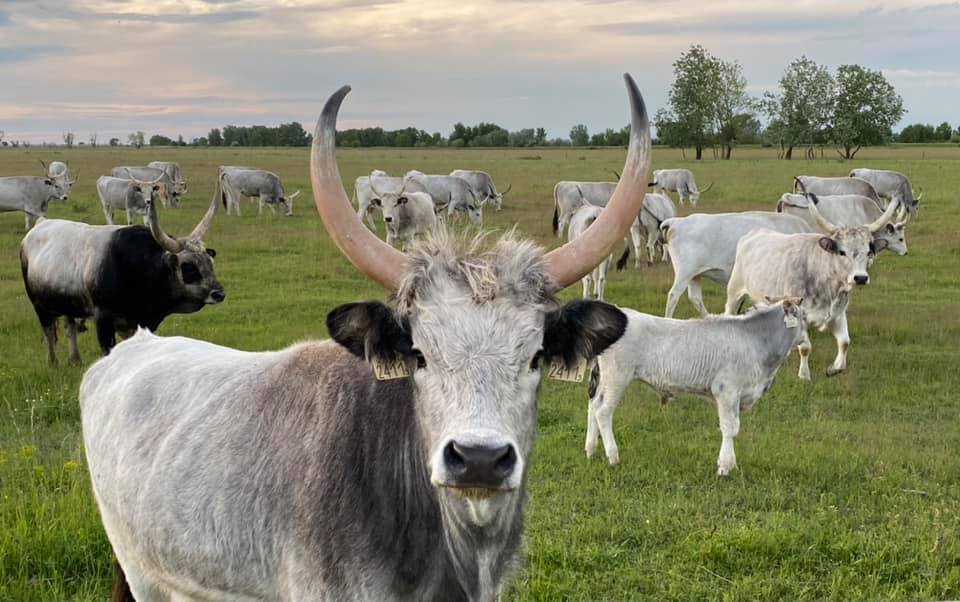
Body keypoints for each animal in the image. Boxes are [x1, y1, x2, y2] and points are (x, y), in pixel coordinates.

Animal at [23, 192, 227, 364]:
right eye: (189, 267)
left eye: (210, 262)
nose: (219, 294)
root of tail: (39, 224)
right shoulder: (103, 316)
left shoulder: (142, 322)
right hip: (38, 305)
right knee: (49, 333)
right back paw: (53, 363)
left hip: (68, 303)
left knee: (69, 327)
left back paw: (75, 361)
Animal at [724, 195, 904, 378]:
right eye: (842, 252)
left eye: (869, 252)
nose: (860, 278)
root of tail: (755, 233)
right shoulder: (800, 315)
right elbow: (805, 348)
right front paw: (804, 375)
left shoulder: (838, 313)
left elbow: (845, 342)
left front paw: (835, 368)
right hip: (734, 292)